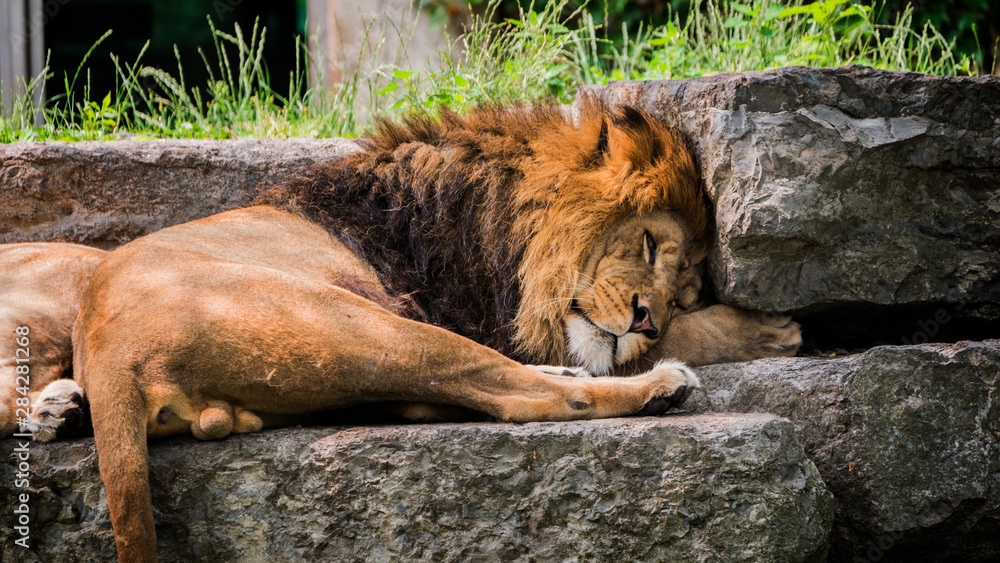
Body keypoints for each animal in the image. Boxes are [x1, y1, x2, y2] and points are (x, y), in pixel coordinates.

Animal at [65, 101, 801, 561]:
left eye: (681, 291)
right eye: (647, 244)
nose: (648, 316)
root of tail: (103, 352)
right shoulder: (483, 312)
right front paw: (766, 329)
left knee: (458, 392)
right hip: (360, 323)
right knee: (518, 396)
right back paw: (658, 387)